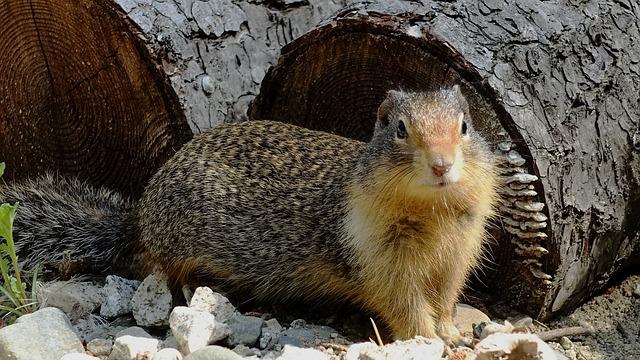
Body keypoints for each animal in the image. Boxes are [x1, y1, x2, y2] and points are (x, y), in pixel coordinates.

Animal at [1, 86, 500, 342]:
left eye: (465, 126)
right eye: (399, 129)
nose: (441, 165)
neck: (431, 213)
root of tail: (139, 217)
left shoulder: (457, 257)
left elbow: (444, 300)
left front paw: (452, 333)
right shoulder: (382, 261)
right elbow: (406, 306)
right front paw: (428, 339)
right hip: (180, 246)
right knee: (164, 272)